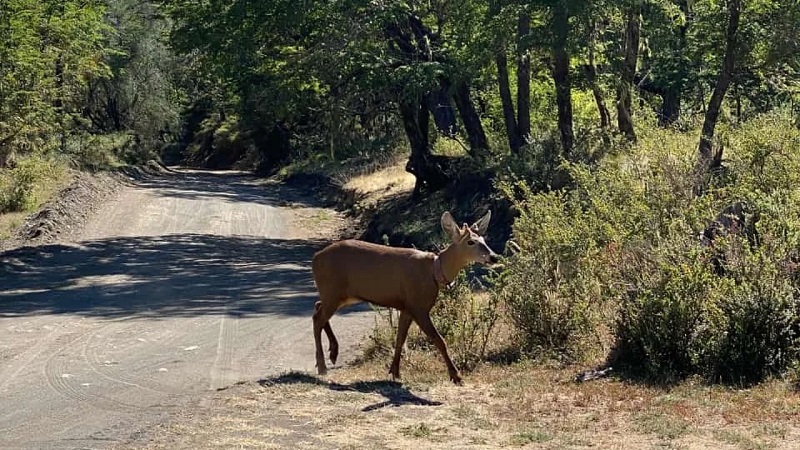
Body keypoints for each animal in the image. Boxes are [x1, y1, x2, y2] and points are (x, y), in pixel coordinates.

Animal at [312, 210, 500, 384]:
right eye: (471, 242)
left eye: (484, 240)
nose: (494, 256)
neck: (434, 272)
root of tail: (315, 258)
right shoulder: (418, 306)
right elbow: (439, 340)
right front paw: (456, 376)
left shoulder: (406, 307)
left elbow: (400, 339)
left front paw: (395, 371)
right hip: (333, 290)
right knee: (317, 318)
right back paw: (322, 366)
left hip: (342, 294)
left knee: (317, 307)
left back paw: (333, 353)